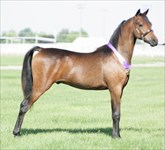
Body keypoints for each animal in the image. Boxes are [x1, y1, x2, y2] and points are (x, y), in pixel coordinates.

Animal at [12, 9, 157, 138]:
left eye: (150, 23)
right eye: (140, 24)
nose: (155, 41)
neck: (116, 56)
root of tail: (41, 49)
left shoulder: (120, 90)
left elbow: (118, 112)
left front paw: (118, 134)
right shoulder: (114, 89)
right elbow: (115, 113)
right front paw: (116, 136)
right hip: (40, 87)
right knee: (24, 105)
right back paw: (16, 133)